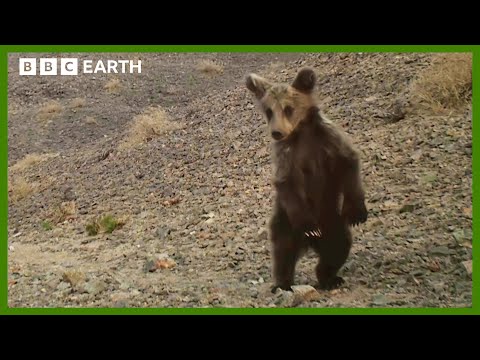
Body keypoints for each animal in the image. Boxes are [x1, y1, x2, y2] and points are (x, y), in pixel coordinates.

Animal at [248, 67, 368, 292]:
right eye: (269, 111)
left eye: (288, 108)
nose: (277, 132)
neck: (301, 131)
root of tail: (310, 245)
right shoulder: (288, 156)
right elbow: (286, 182)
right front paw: (310, 227)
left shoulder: (328, 138)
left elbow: (349, 162)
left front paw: (357, 212)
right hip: (285, 222)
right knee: (283, 253)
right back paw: (283, 284)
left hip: (332, 220)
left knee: (338, 247)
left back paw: (329, 278)